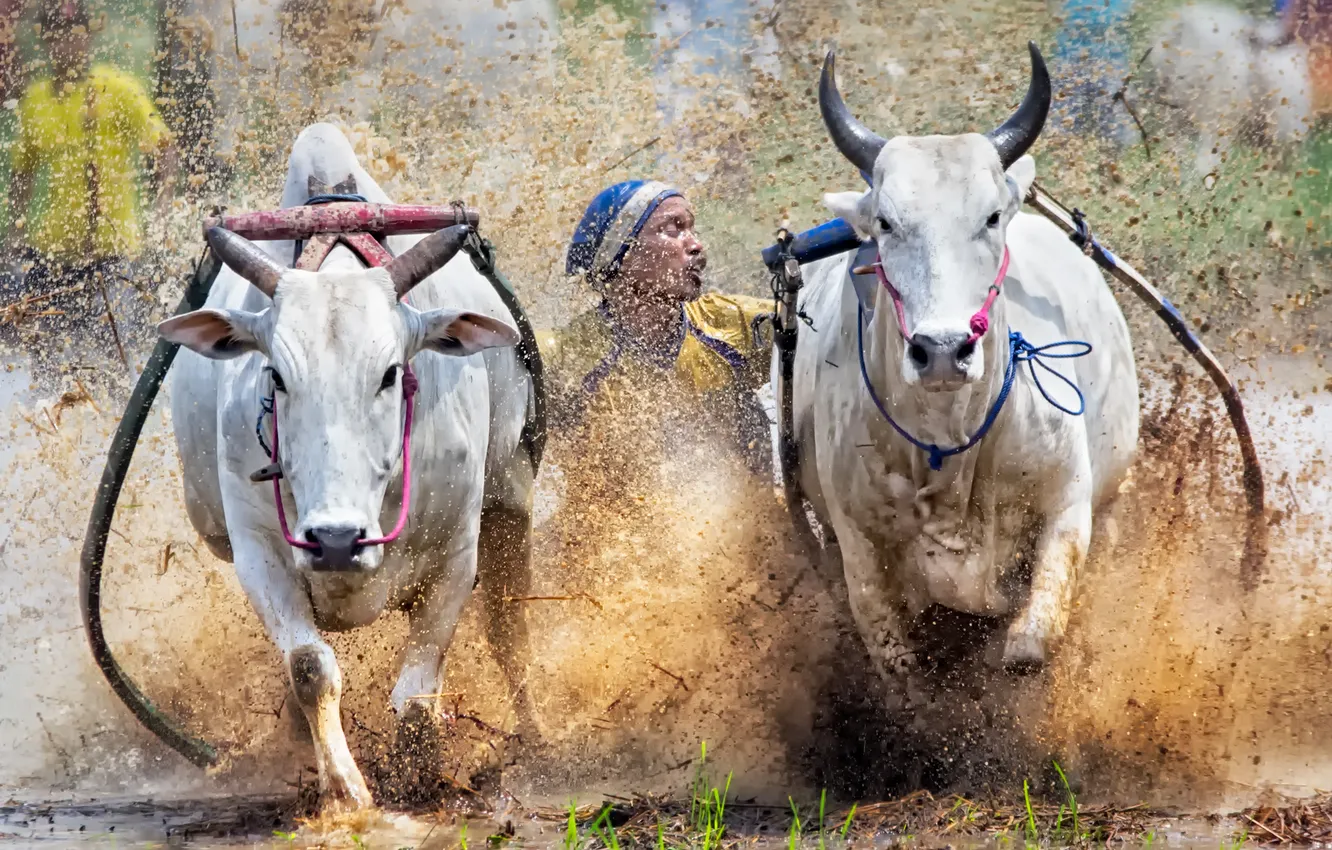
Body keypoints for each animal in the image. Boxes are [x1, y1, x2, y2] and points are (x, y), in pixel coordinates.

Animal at [163, 123, 538, 810]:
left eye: (391, 372)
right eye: (276, 376)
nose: (336, 539)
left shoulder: (457, 554)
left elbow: (417, 699)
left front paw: (422, 780)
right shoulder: (257, 551)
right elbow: (310, 667)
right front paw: (345, 790)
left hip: (511, 496)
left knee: (511, 633)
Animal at [783, 44, 1140, 687]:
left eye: (992, 216)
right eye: (886, 222)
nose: (944, 350)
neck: (947, 445)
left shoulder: (1068, 508)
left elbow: (1029, 649)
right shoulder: (858, 551)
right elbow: (899, 669)